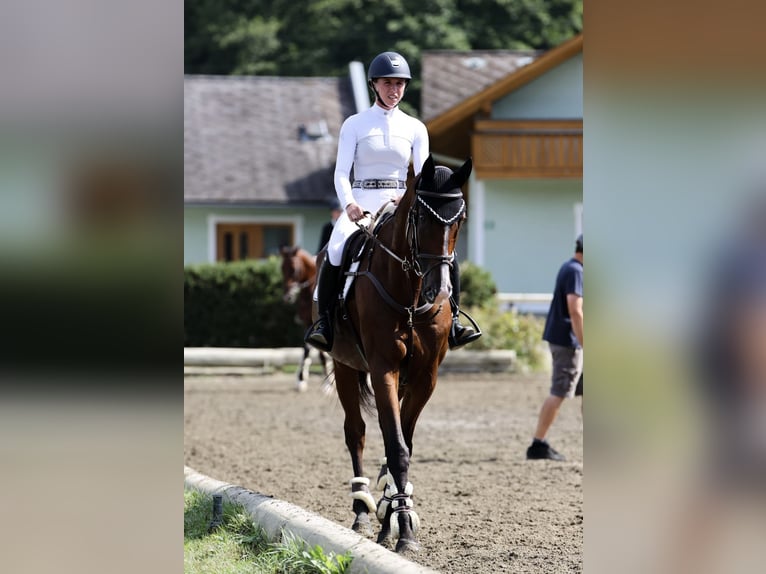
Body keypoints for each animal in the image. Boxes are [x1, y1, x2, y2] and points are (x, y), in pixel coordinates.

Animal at [280, 245, 332, 394]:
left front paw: (328, 385)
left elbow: (321, 354)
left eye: (294, 269)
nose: (287, 297)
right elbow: (307, 351)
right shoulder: (308, 324)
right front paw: (301, 380)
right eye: (282, 268)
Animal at [314, 155, 472, 556]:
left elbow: (402, 443)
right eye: (420, 217)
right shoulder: (383, 368)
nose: (439, 290)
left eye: (459, 219)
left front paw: (397, 516)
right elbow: (396, 447)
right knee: (355, 432)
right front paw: (403, 528)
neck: (411, 294)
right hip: (344, 365)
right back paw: (361, 510)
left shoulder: (424, 376)